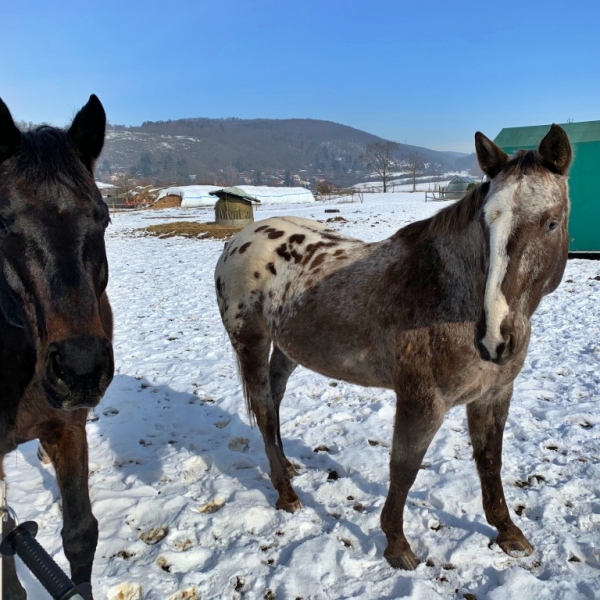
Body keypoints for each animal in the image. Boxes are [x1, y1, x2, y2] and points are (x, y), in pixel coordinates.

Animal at [216, 125, 572, 568]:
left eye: (551, 224)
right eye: (485, 224)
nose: (495, 338)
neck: (448, 295)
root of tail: (238, 241)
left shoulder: (493, 396)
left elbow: (490, 463)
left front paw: (508, 533)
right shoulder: (421, 403)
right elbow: (404, 469)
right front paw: (397, 545)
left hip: (287, 349)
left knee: (275, 401)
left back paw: (287, 467)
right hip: (251, 343)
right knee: (265, 413)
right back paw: (286, 494)